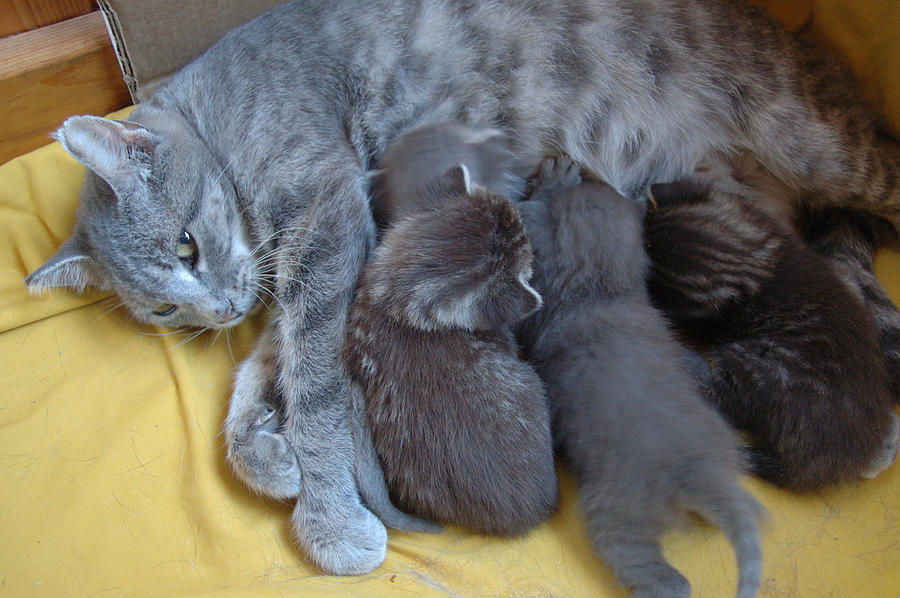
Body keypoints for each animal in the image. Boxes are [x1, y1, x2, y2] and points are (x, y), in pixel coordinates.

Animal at [516, 156, 764, 598]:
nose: (590, 170)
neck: (600, 292)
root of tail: (698, 469)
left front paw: (552, 179)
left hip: (615, 507)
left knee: (640, 559)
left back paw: (665, 583)